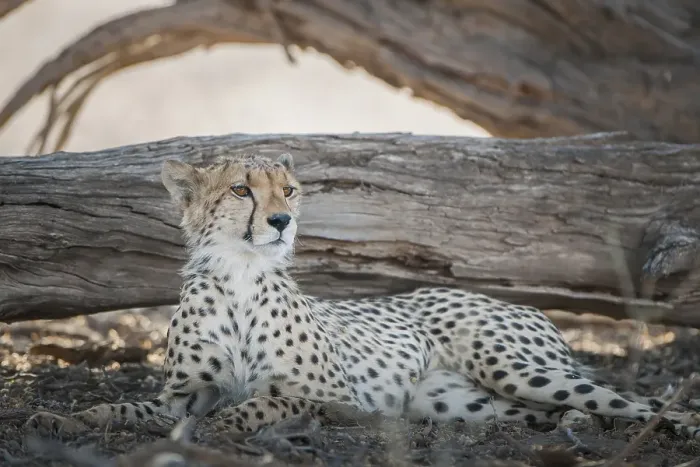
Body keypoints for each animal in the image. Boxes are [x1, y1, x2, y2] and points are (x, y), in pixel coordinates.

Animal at [26, 152, 700, 440]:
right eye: (242, 189)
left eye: (290, 190)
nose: (282, 222)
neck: (241, 274)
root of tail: (525, 303)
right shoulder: (184, 393)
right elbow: (121, 408)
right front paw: (62, 418)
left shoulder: (331, 393)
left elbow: (258, 404)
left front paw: (219, 429)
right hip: (471, 405)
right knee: (571, 410)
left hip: (513, 366)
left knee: (637, 402)